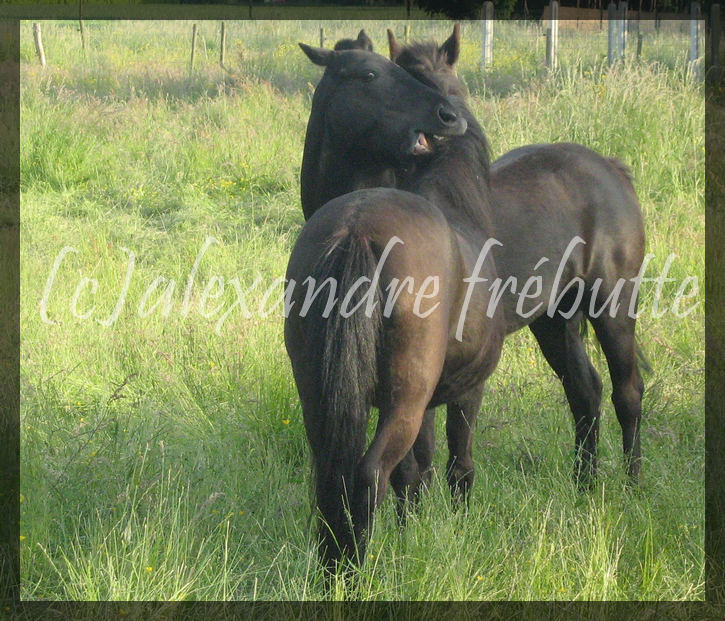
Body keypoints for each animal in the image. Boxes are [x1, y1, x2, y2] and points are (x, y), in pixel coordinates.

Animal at [282, 46, 504, 568]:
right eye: (370, 73)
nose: (448, 116)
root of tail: (357, 229)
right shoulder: (466, 391)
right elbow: (455, 465)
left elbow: (414, 474)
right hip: (405, 400)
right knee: (368, 477)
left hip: (319, 397)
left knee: (333, 478)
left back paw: (333, 569)